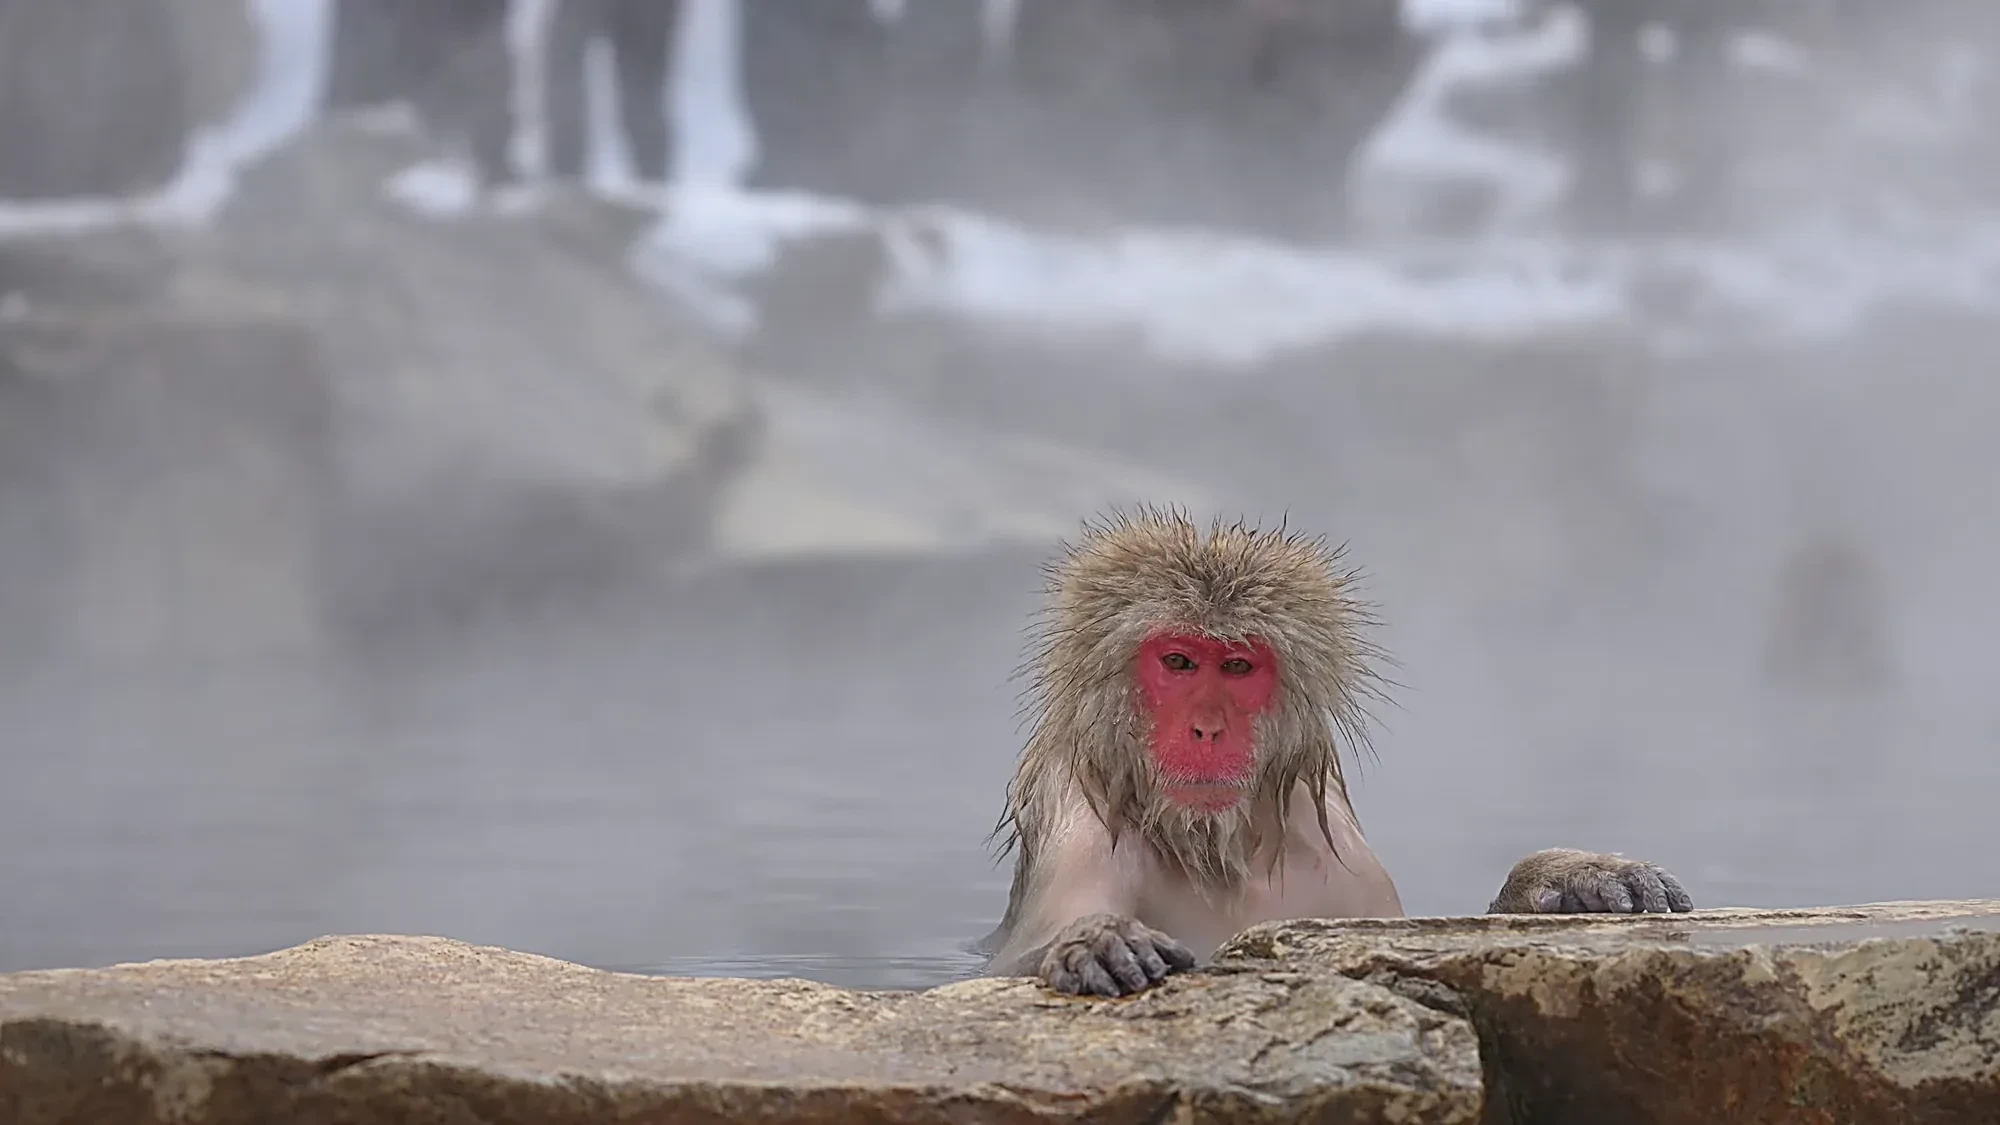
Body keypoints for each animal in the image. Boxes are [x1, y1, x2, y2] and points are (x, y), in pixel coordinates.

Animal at [981, 509, 1693, 998]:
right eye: (1179, 663)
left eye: (1237, 667)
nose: (1207, 729)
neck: (1214, 851)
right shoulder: (1081, 815)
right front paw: (1094, 940)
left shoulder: (1339, 858)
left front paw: (1569, 877)